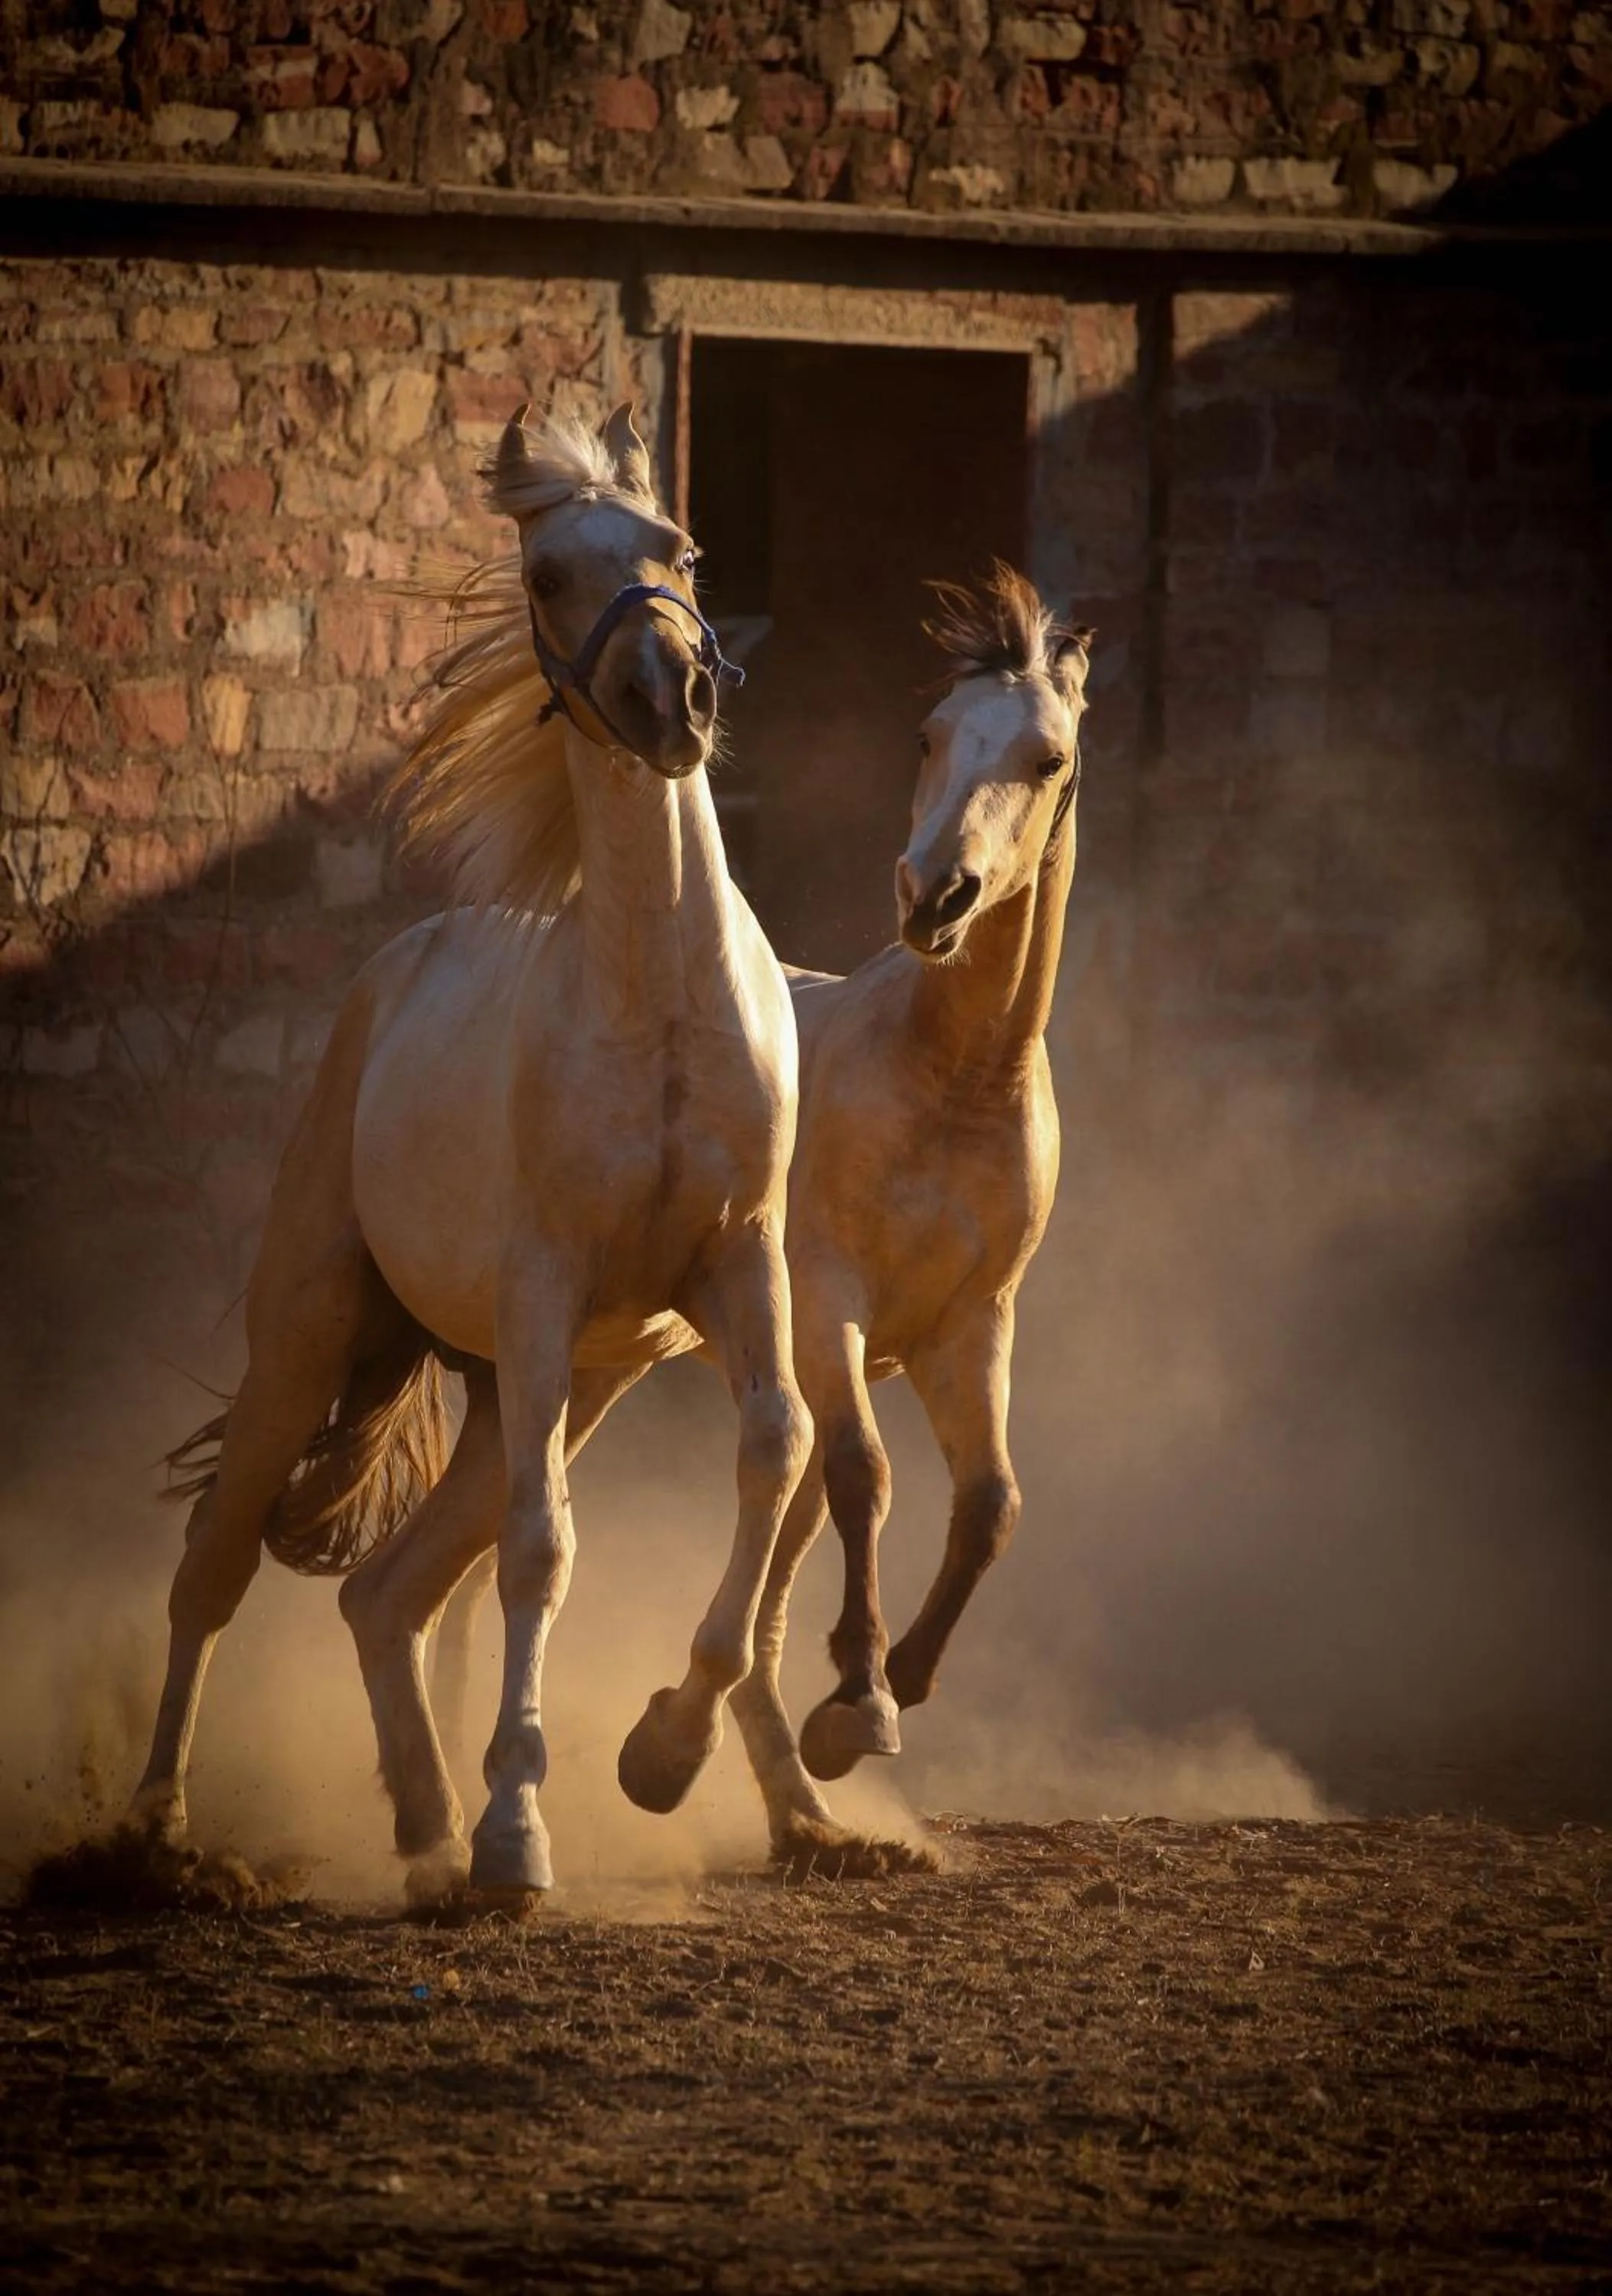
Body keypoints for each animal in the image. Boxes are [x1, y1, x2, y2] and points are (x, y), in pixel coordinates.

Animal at [133, 401, 811, 1897]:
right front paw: (521, 1833)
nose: (676, 699)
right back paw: (160, 1833)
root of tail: (386, 981)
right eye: (547, 574)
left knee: (386, 1592)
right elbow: (542, 1551)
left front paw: (661, 1753)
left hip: (533, 1389)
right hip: (320, 1335)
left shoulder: (738, 1268)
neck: (658, 1007)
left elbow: (777, 1451)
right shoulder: (549, 1289)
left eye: (678, 547)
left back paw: (426, 1835)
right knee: (215, 1563)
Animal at [372, 564, 1091, 1874]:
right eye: (928, 736)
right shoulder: (826, 1309)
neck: (947, 1084)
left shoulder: (971, 1329)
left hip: (581, 1379)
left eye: (1047, 756)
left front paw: (887, 1687)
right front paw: (854, 1703)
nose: (935, 895)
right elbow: (863, 1473)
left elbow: (988, 1507)